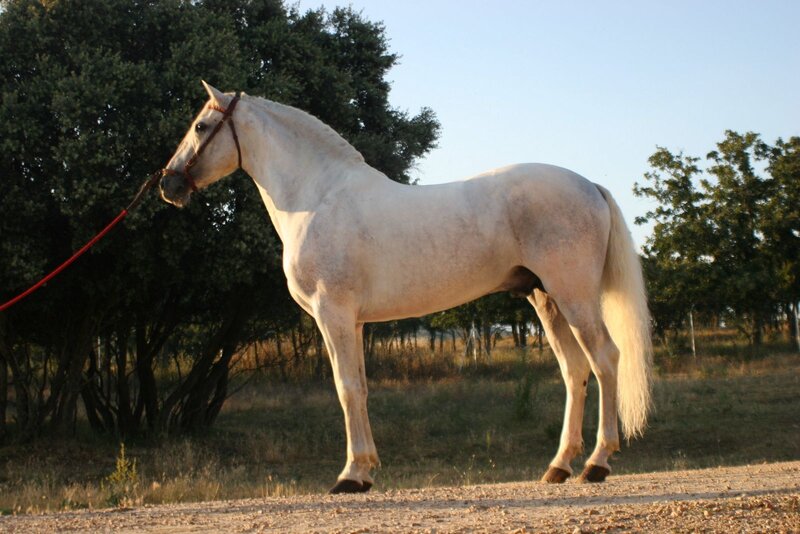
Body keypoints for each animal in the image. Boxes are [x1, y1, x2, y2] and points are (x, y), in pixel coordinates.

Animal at [160, 81, 653, 494]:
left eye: (201, 126)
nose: (168, 182)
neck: (317, 197)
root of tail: (589, 185)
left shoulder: (333, 314)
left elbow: (346, 388)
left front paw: (350, 476)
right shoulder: (353, 323)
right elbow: (359, 387)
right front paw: (366, 470)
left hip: (573, 296)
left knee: (605, 359)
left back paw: (597, 464)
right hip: (545, 300)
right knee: (574, 370)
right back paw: (559, 466)